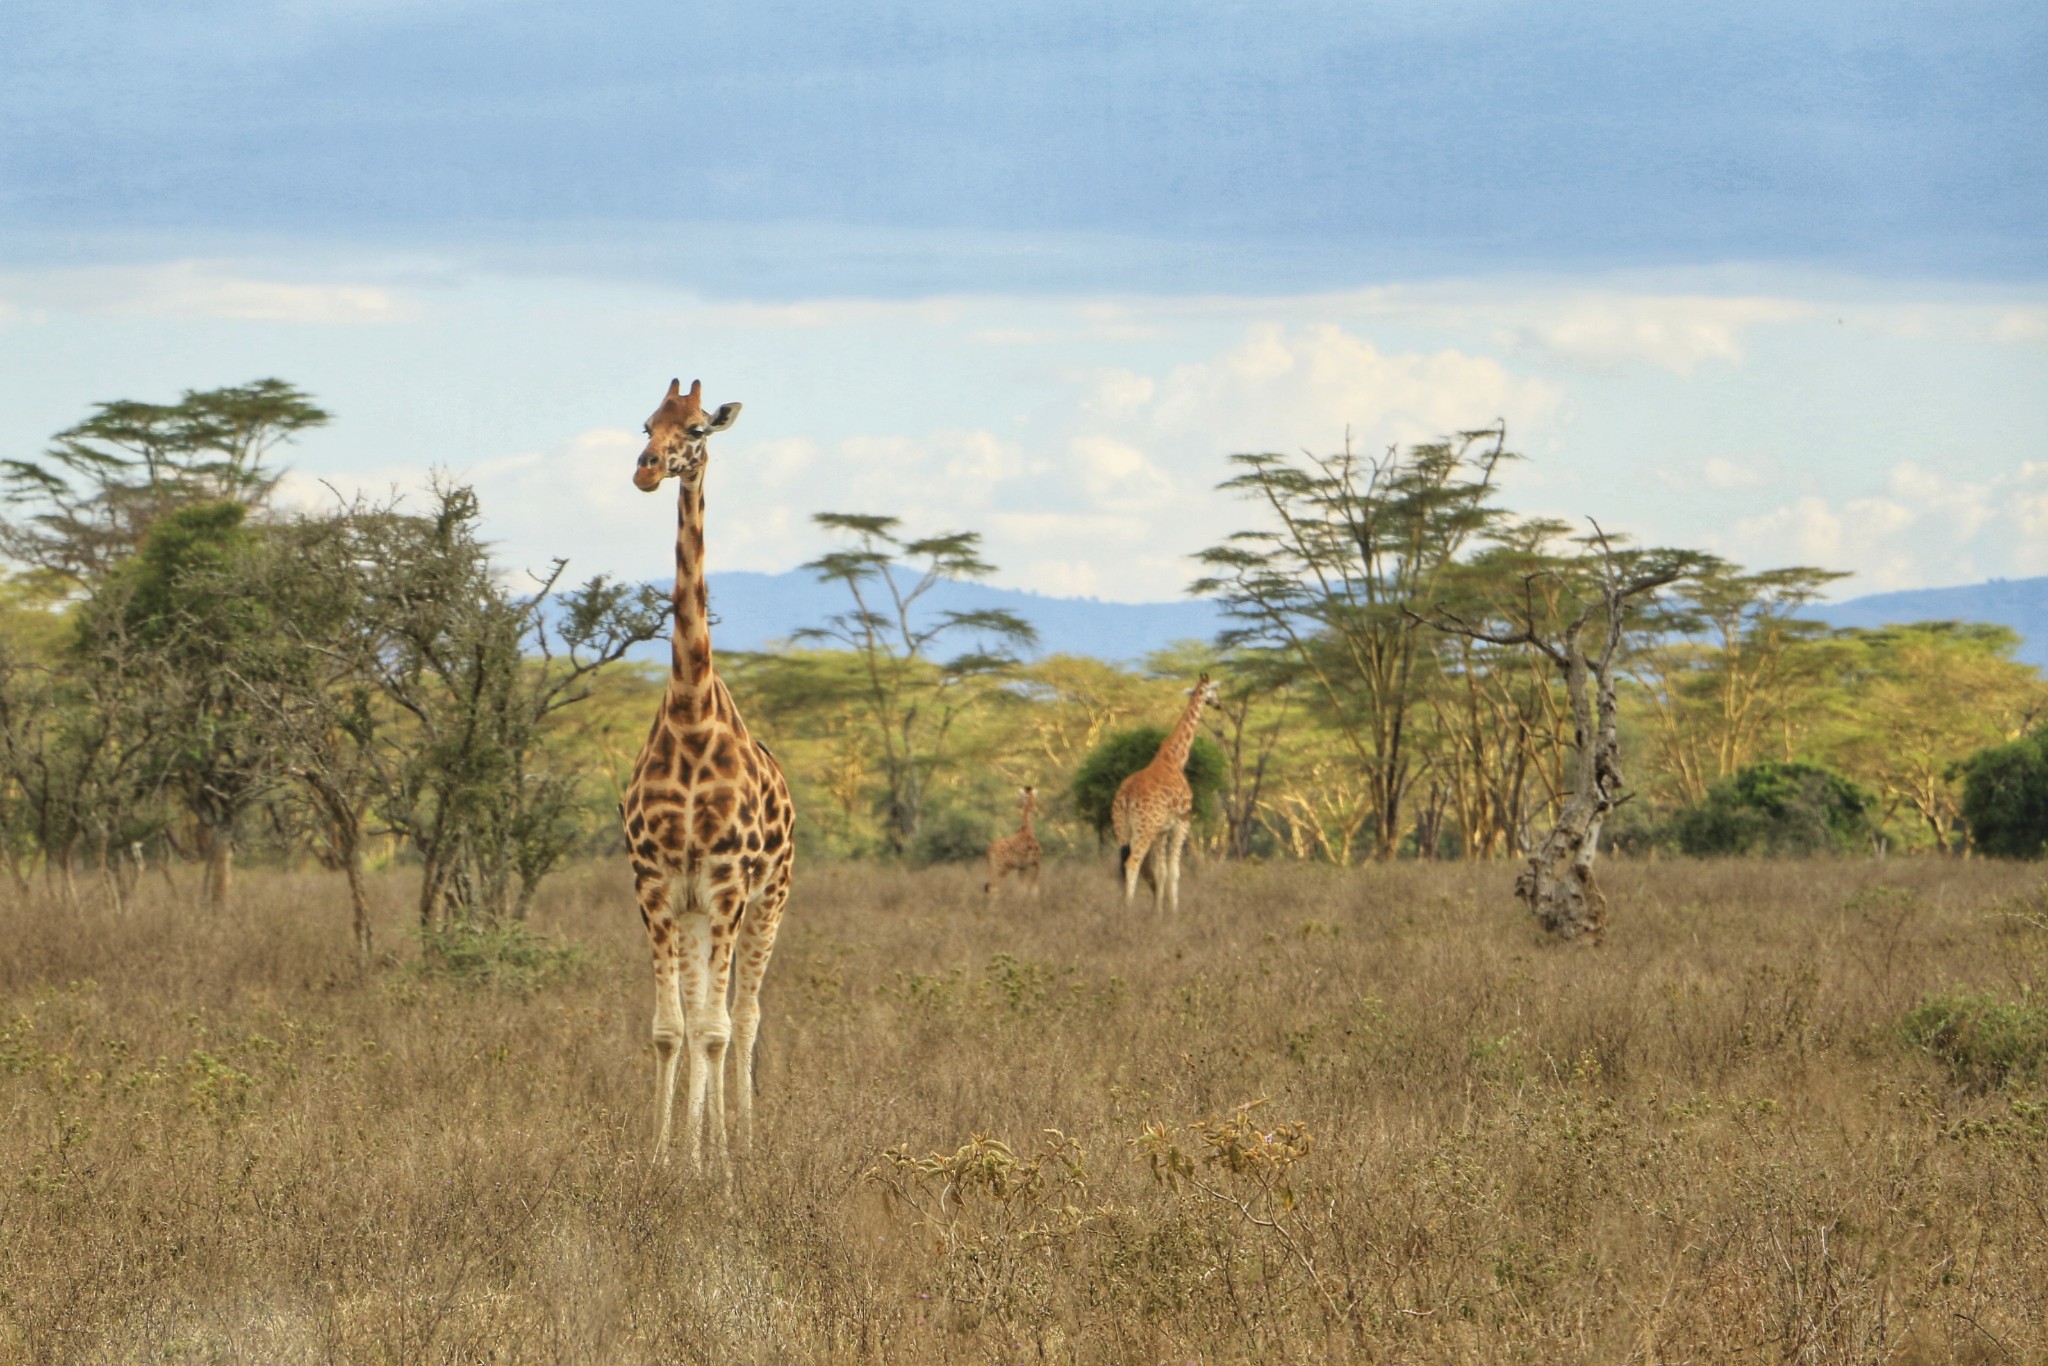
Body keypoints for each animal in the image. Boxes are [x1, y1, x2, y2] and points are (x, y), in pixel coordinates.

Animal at [1114, 679, 1220, 913]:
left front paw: (1158, 912)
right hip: (1144, 830)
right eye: (1215, 691)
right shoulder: (1182, 821)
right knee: (1132, 863)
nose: (1219, 705)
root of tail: (1126, 797)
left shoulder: (1162, 830)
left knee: (1123, 865)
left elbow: (1160, 872)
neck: (1176, 758)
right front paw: (1173, 913)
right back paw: (1127, 911)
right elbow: (1174, 871)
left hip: (1122, 829)